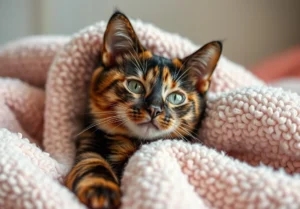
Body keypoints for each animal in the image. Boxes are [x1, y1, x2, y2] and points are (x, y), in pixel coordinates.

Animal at [65, 11, 220, 209]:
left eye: (176, 97)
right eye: (135, 86)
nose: (154, 109)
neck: (134, 144)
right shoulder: (88, 144)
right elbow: (92, 163)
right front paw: (102, 190)